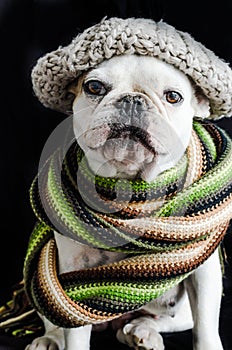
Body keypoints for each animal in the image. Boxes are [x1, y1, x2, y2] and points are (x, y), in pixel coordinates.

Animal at [25, 52, 225, 350]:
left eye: (173, 96)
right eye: (94, 87)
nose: (132, 100)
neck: (129, 182)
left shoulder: (205, 272)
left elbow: (205, 327)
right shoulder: (73, 273)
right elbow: (73, 327)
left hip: (178, 311)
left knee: (168, 320)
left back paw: (143, 332)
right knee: (53, 317)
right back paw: (50, 339)